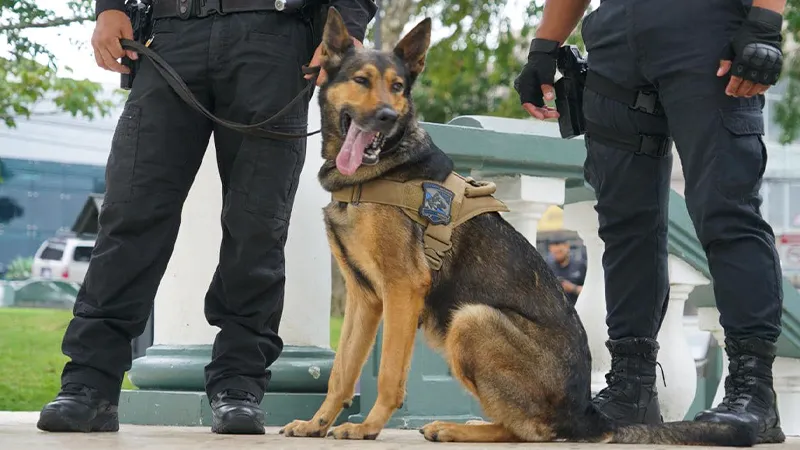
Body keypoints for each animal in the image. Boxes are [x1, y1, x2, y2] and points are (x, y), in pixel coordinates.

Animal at [282, 7, 756, 446]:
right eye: (361, 80)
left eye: (397, 87)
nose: (384, 116)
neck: (379, 170)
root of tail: (585, 414)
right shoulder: (365, 297)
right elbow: (342, 370)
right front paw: (317, 423)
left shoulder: (403, 288)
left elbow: (388, 373)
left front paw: (368, 427)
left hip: (470, 319)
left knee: (531, 431)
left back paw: (457, 428)